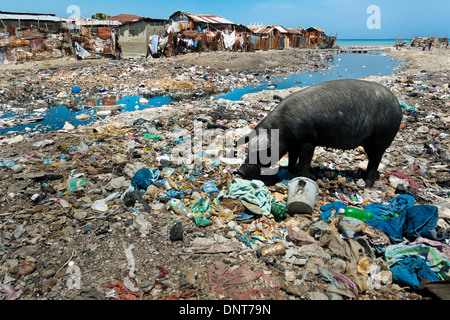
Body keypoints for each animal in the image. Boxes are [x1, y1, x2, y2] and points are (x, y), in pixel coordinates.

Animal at [237, 78, 402, 188]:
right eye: (249, 149)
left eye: (265, 152)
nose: (240, 172)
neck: (283, 129)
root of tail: (397, 104)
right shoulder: (294, 143)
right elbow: (292, 158)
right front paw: (292, 170)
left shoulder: (308, 140)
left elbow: (305, 161)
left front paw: (307, 177)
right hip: (368, 142)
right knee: (372, 160)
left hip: (381, 139)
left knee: (376, 161)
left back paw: (366, 184)